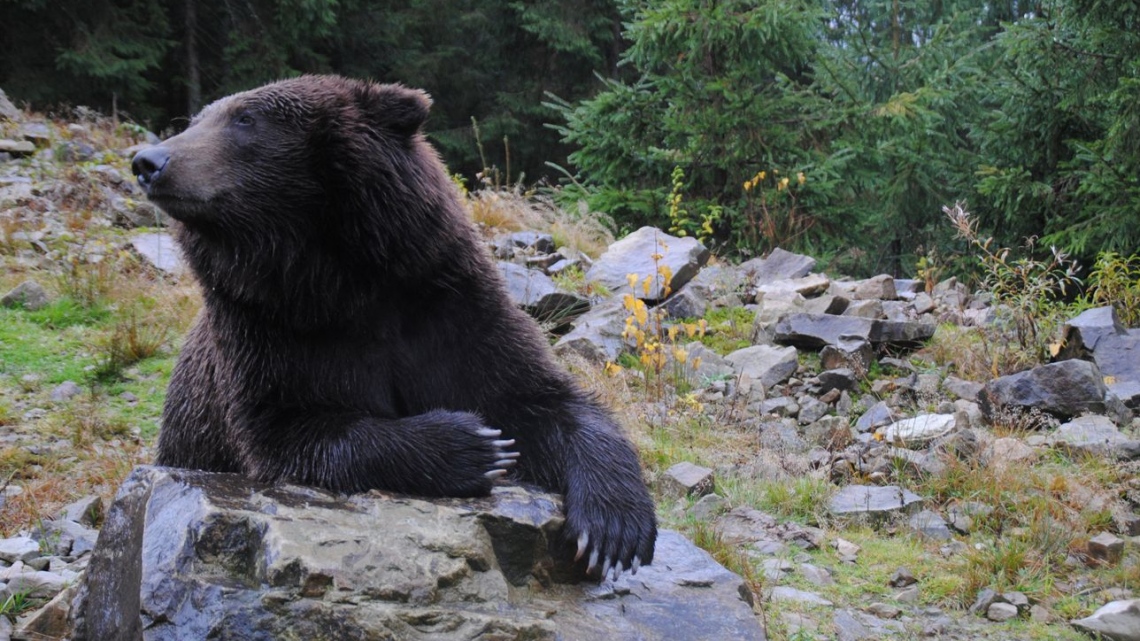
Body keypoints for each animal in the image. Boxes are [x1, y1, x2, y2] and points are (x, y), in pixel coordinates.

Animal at [129, 73, 656, 574]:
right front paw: (474, 446)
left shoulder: (449, 309)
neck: (335, 278)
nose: (147, 161)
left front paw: (614, 529)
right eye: (197, 119)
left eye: (244, 118)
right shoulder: (268, 330)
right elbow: (289, 432)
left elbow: (544, 398)